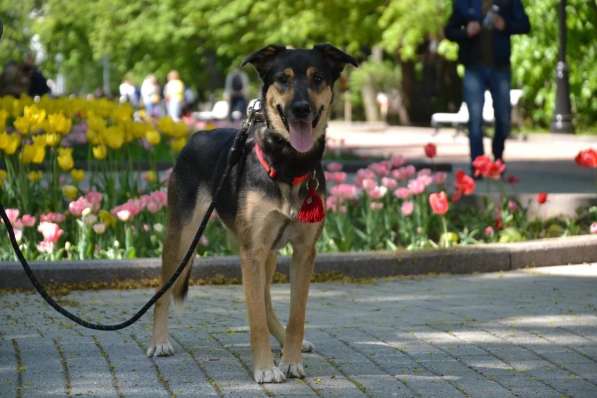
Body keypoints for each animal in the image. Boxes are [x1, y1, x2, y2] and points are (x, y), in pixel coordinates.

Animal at [147, 43, 356, 382]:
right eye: (283, 79)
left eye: (317, 78)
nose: (301, 109)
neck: (288, 165)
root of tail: (197, 135)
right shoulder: (252, 251)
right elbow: (255, 315)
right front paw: (265, 368)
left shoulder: (303, 251)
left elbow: (296, 313)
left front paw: (290, 360)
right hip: (182, 236)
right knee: (163, 290)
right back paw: (159, 341)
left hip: (269, 251)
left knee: (269, 301)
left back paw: (282, 342)